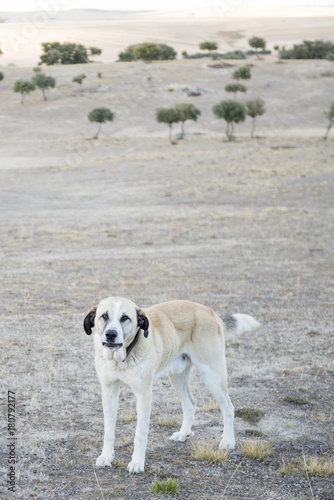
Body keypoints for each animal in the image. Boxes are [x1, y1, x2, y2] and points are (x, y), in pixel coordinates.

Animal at [83, 294, 258, 474]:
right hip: (177, 377)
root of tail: (210, 312)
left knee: (228, 408)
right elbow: (108, 431)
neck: (121, 359)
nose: (111, 334)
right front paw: (106, 456)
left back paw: (228, 440)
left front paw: (137, 462)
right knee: (190, 404)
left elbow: (140, 433)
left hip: (212, 375)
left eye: (125, 318)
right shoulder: (109, 391)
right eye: (104, 316)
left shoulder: (144, 395)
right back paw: (183, 433)